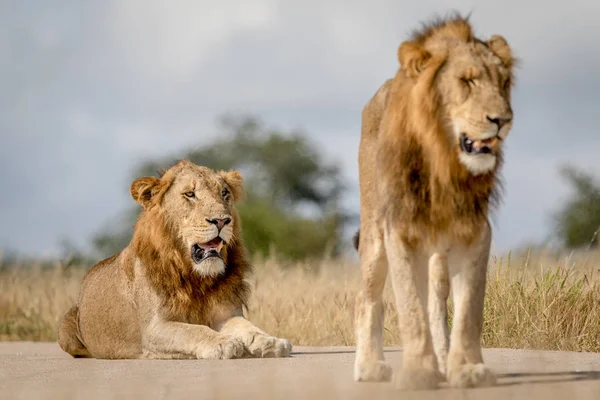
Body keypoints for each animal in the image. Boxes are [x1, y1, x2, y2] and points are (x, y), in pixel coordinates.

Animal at [57, 159, 292, 360]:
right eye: (190, 194)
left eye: (224, 193)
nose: (222, 220)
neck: (197, 277)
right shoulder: (154, 328)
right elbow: (192, 331)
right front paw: (222, 342)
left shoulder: (226, 312)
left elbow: (249, 328)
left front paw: (271, 341)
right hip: (65, 327)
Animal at [352, 14, 516, 390]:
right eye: (466, 81)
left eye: (503, 83)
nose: (502, 121)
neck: (444, 161)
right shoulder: (399, 232)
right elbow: (410, 308)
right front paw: (418, 373)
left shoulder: (474, 232)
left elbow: (468, 310)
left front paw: (466, 369)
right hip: (374, 233)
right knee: (369, 298)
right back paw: (369, 366)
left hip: (437, 254)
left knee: (436, 302)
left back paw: (442, 358)